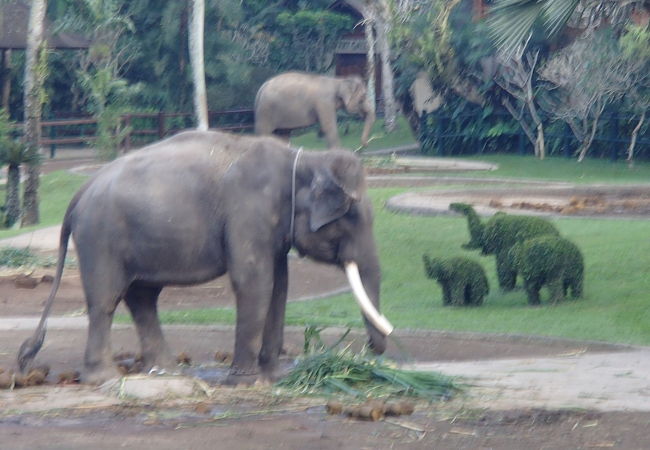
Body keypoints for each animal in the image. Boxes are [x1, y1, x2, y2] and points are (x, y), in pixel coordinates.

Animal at [17, 129, 390, 384]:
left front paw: (274, 376)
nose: (374, 351)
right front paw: (244, 380)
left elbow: (280, 285)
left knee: (142, 297)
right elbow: (254, 282)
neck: (303, 159)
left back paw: (164, 369)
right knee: (106, 300)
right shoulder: (248, 211)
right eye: (353, 217)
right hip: (101, 237)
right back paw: (105, 378)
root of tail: (79, 194)